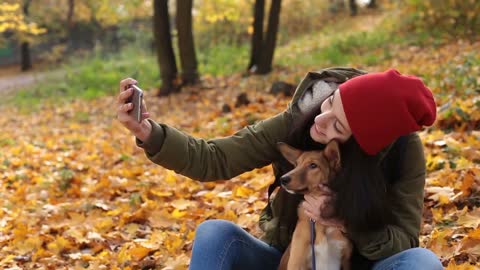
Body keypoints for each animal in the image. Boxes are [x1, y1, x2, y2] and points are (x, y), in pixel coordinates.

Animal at [276, 140, 350, 270]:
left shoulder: (346, 260)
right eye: (296, 164)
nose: (283, 179)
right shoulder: (296, 262)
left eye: (313, 166)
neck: (321, 225)